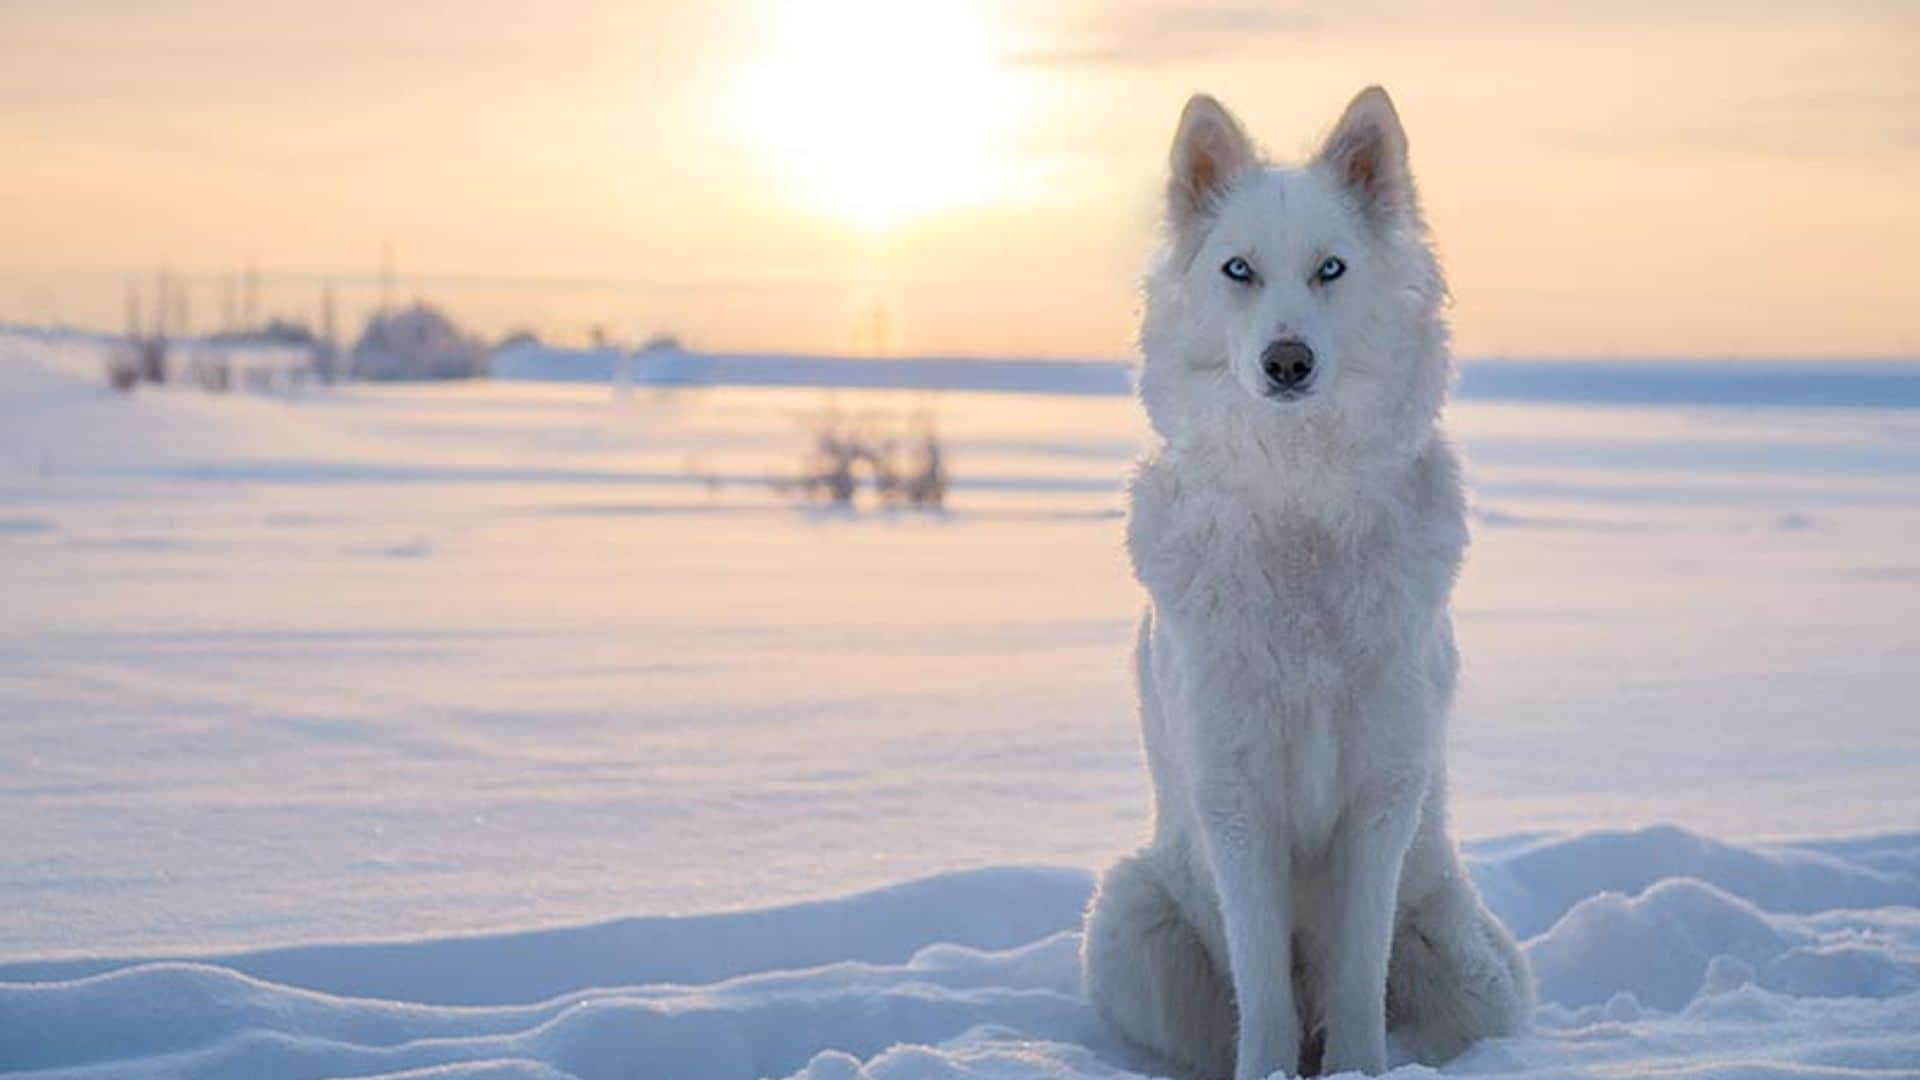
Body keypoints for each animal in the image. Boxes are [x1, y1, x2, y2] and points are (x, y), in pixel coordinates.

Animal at [1090, 88, 1536, 1068]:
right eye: (1239, 271)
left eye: (1331, 269)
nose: (1286, 362)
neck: (1300, 510)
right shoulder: (1235, 797)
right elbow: (1264, 994)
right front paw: (1269, 1069)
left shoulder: (1382, 794)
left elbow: (1358, 979)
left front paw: (1360, 1071)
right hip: (1128, 926)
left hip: (1474, 970)